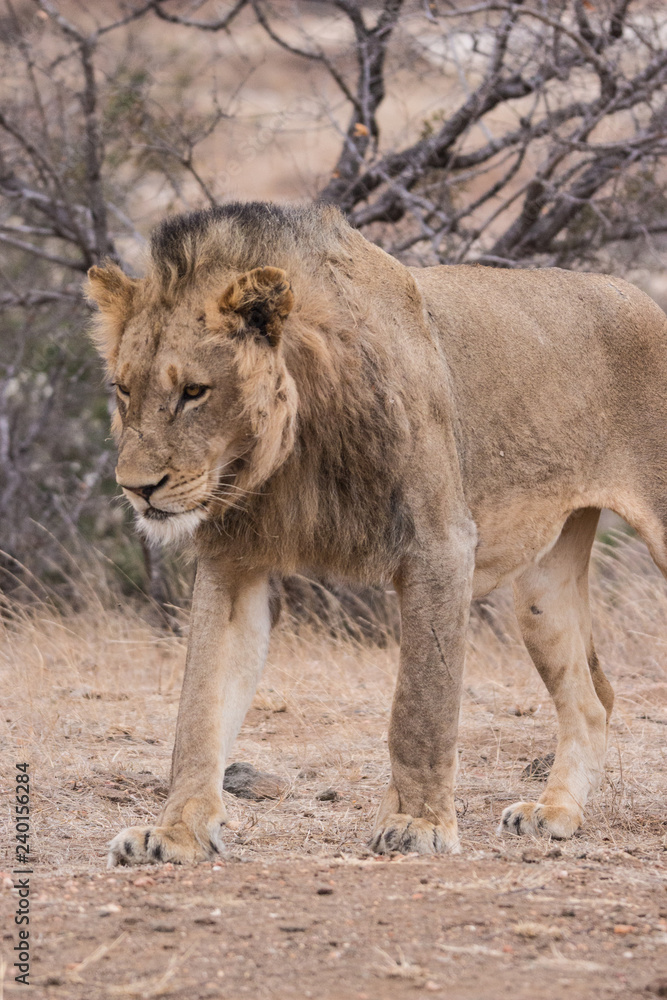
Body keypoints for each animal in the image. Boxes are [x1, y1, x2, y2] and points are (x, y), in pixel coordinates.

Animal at [86, 201, 667, 866]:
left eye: (193, 392)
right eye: (123, 388)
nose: (136, 488)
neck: (291, 446)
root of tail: (641, 298)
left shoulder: (440, 543)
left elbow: (419, 705)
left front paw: (418, 824)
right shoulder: (233, 559)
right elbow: (200, 710)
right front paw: (176, 833)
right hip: (541, 588)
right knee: (592, 700)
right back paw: (555, 812)